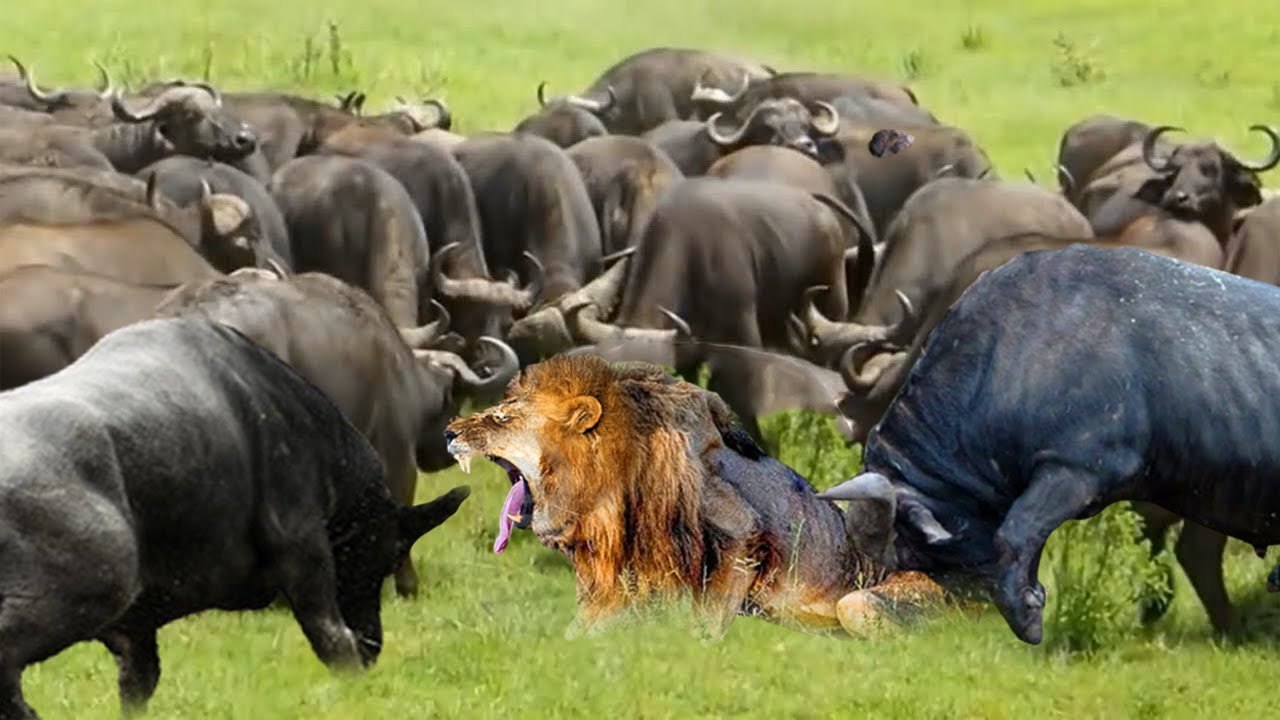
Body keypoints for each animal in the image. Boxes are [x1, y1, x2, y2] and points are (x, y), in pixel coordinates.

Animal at [444, 353, 946, 638]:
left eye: (501, 418)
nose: (449, 433)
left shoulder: (741, 529)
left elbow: (705, 621)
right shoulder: (617, 574)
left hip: (864, 602)